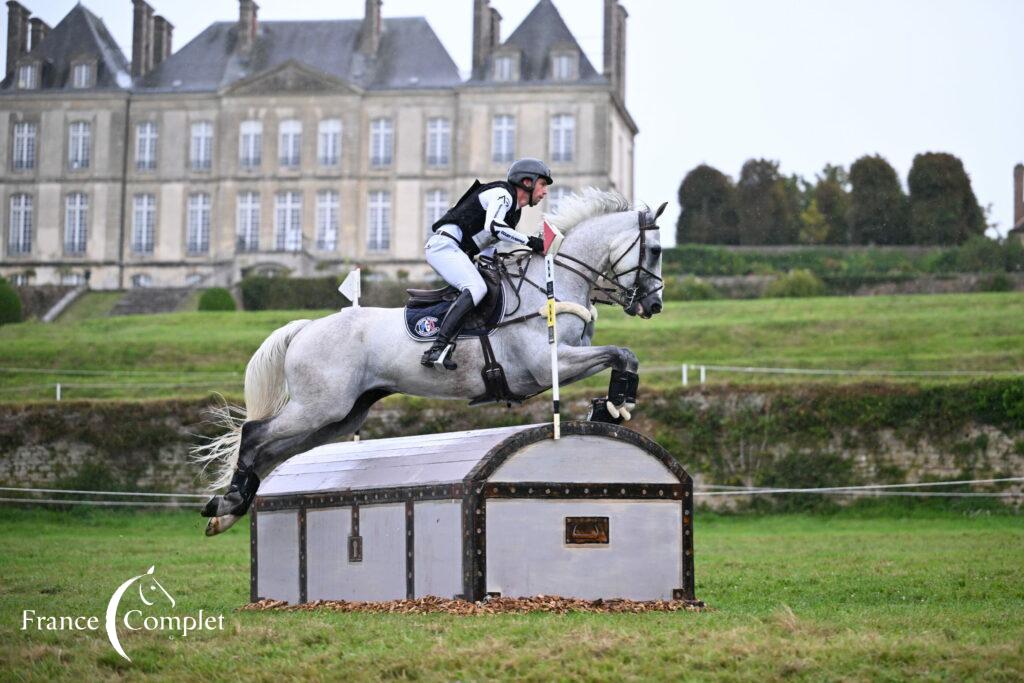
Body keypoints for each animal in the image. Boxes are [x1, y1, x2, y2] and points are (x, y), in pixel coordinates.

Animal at [195, 189, 667, 536]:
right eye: (657, 251)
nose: (654, 306)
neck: (554, 281)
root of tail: (307, 327)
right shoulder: (545, 364)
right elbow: (622, 353)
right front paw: (615, 404)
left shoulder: (562, 362)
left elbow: (624, 356)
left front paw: (608, 407)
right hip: (320, 406)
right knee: (255, 434)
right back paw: (230, 502)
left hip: (341, 417)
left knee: (274, 450)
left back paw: (227, 509)